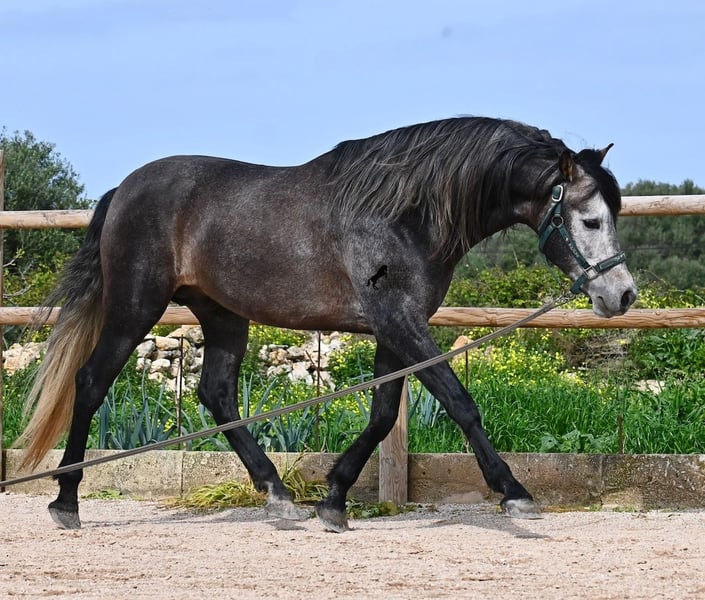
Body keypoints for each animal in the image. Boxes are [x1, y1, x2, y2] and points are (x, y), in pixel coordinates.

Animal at [16, 116, 637, 532]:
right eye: (589, 219)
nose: (622, 294)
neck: (404, 216)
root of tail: (123, 190)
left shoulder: (396, 328)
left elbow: (384, 415)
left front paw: (334, 498)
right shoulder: (400, 322)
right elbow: (460, 403)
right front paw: (513, 491)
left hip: (223, 314)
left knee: (216, 394)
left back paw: (278, 493)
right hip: (135, 306)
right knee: (91, 383)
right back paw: (66, 502)